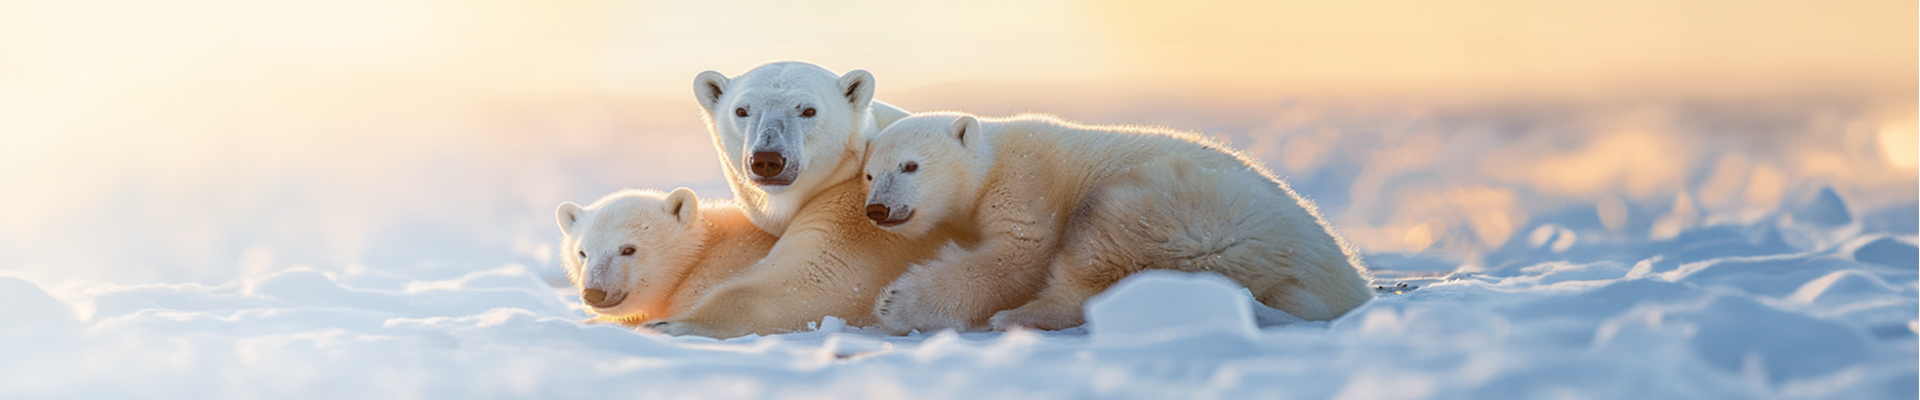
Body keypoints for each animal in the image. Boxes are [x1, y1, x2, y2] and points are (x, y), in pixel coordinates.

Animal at [641, 61, 948, 338]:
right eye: (741, 110)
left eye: (808, 110)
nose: (767, 159)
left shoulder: (862, 211)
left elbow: (813, 279)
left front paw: (665, 325)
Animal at [864, 111, 1374, 330]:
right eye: (869, 174)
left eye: (909, 166)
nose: (878, 209)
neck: (992, 159)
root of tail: (1351, 286)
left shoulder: (1029, 181)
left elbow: (1017, 255)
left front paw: (898, 303)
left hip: (1193, 213)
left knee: (1102, 239)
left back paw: (1019, 315)